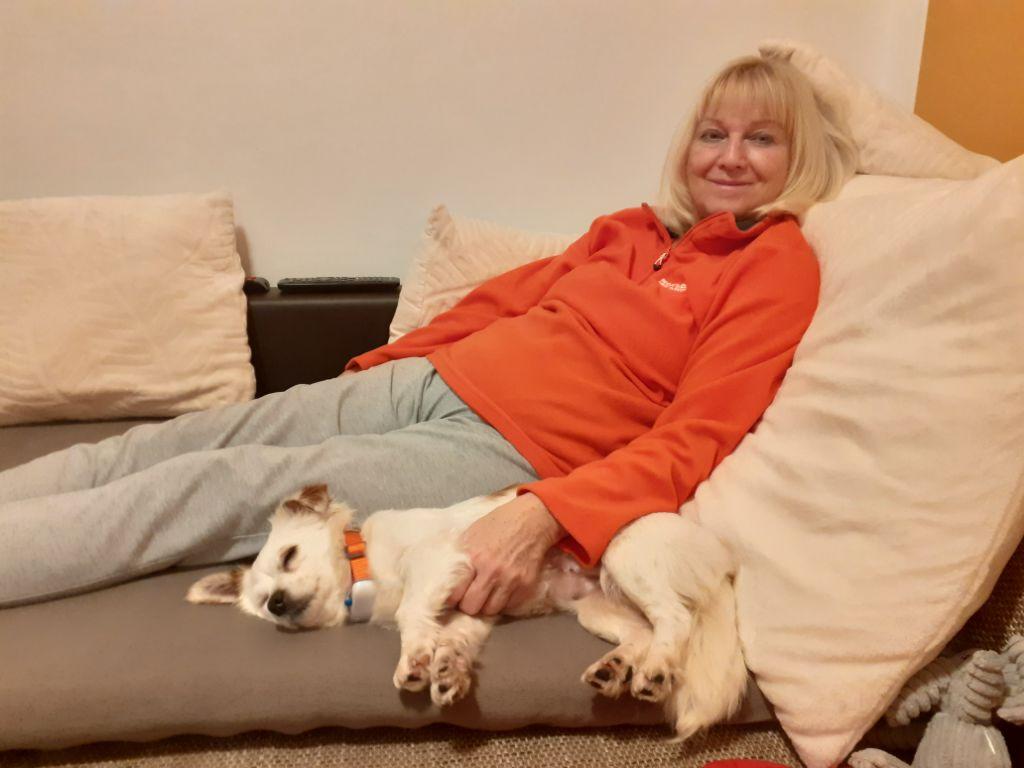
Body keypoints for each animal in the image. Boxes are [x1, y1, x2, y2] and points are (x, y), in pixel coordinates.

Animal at [187, 484, 746, 739]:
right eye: (264, 604)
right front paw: (448, 669)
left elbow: (413, 614)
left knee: (674, 620)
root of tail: (717, 559)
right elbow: (452, 639)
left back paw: (654, 671)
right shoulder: (472, 611)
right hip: (594, 607)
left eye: (289, 556)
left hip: (624, 557)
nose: (278, 603)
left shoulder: (442, 563)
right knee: (643, 632)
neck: (367, 566)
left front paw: (415, 660)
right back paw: (617, 668)